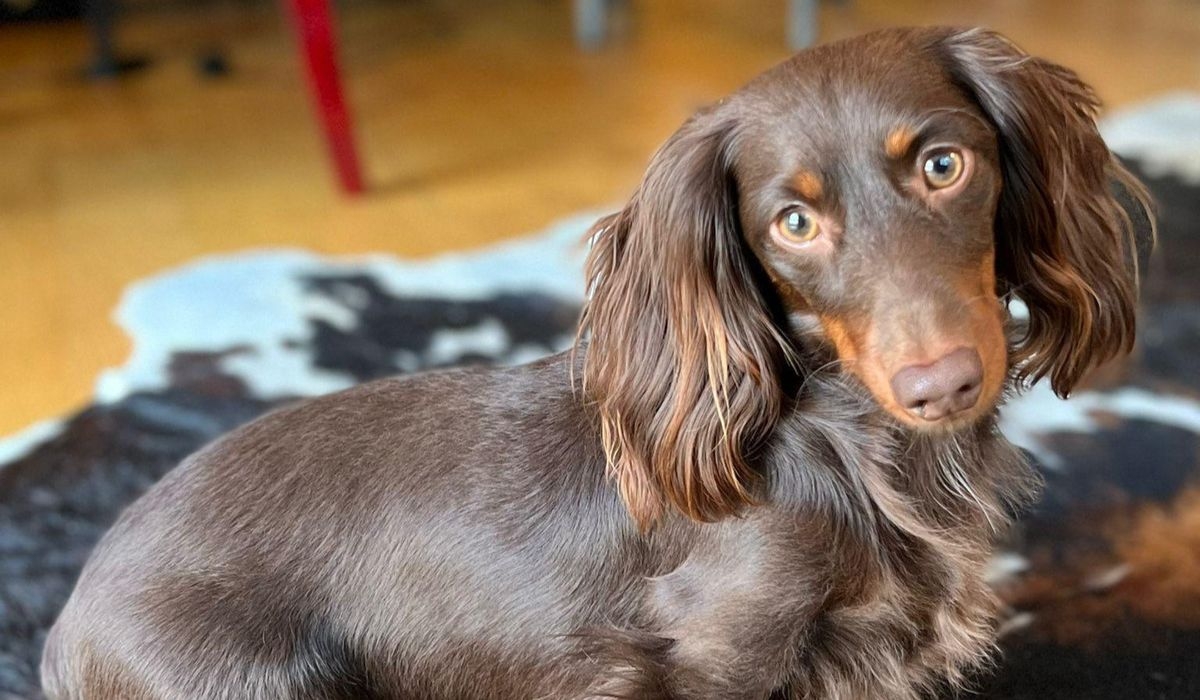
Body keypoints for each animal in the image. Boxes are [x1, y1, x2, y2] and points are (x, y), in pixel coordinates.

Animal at [42, 24, 1152, 696]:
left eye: (943, 164)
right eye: (792, 222)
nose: (943, 384)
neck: (851, 450)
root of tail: (62, 631)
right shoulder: (717, 653)